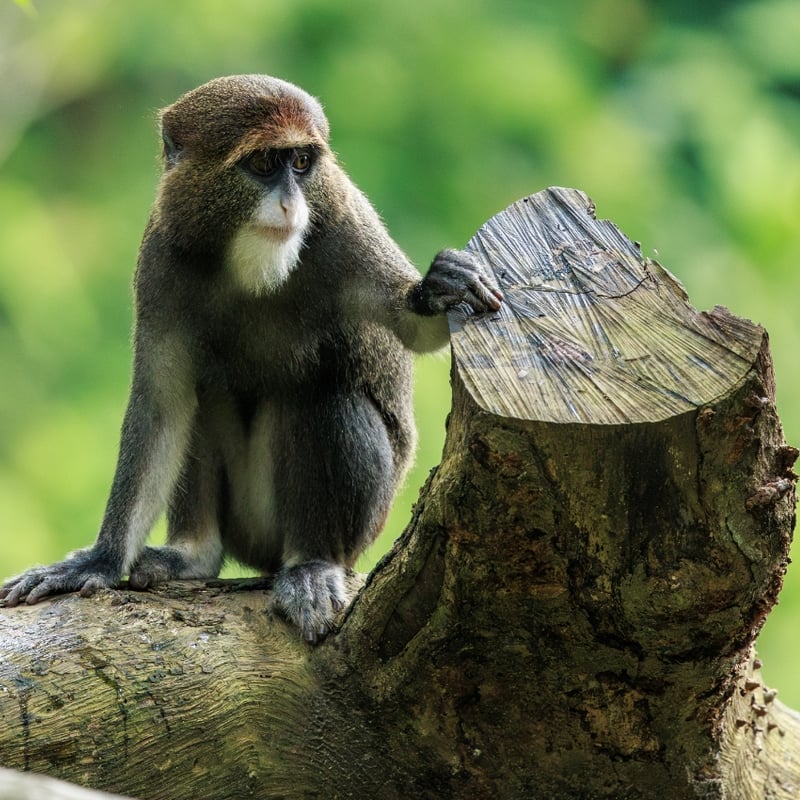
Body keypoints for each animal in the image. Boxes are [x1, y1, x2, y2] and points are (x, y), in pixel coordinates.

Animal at [0, 75, 503, 642]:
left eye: (301, 163)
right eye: (264, 164)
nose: (290, 204)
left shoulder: (345, 227)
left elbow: (414, 328)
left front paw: (439, 288)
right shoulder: (160, 259)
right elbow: (162, 407)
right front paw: (100, 562)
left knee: (326, 393)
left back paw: (312, 565)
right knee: (204, 394)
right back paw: (194, 554)